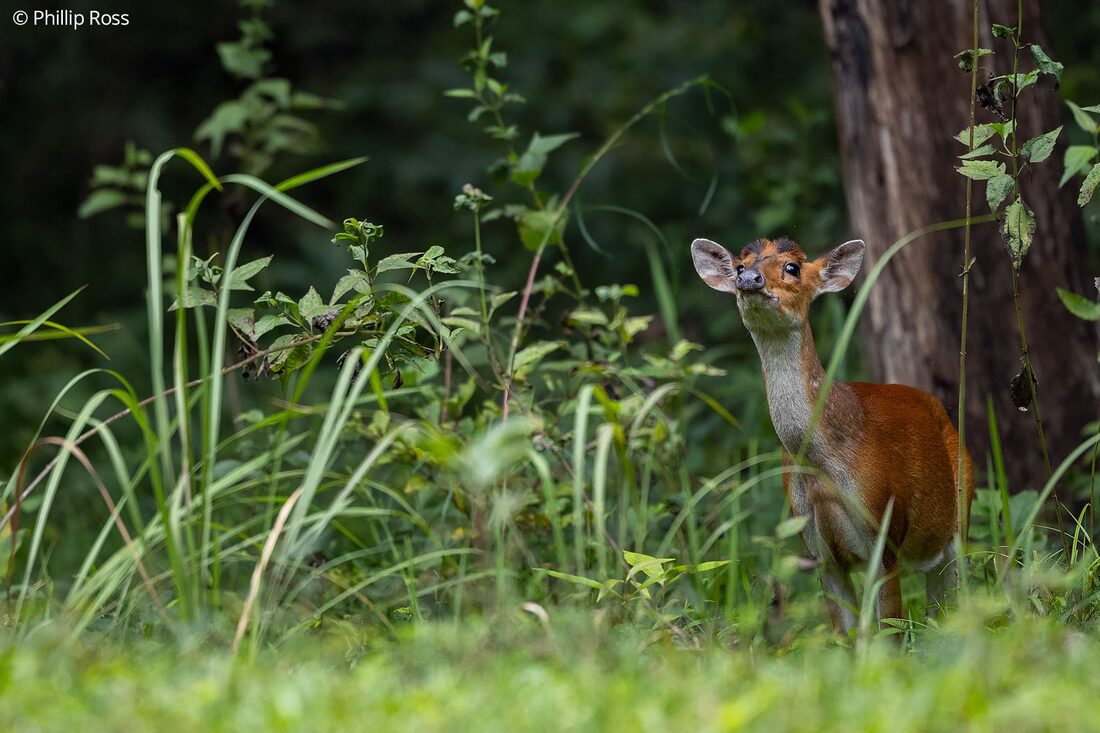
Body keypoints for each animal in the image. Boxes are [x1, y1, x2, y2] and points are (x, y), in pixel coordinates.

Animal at [690, 235, 973, 638]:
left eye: (792, 267)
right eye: (741, 266)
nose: (750, 280)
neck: (822, 466)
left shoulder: (882, 535)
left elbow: (888, 631)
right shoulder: (819, 550)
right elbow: (845, 634)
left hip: (961, 513)